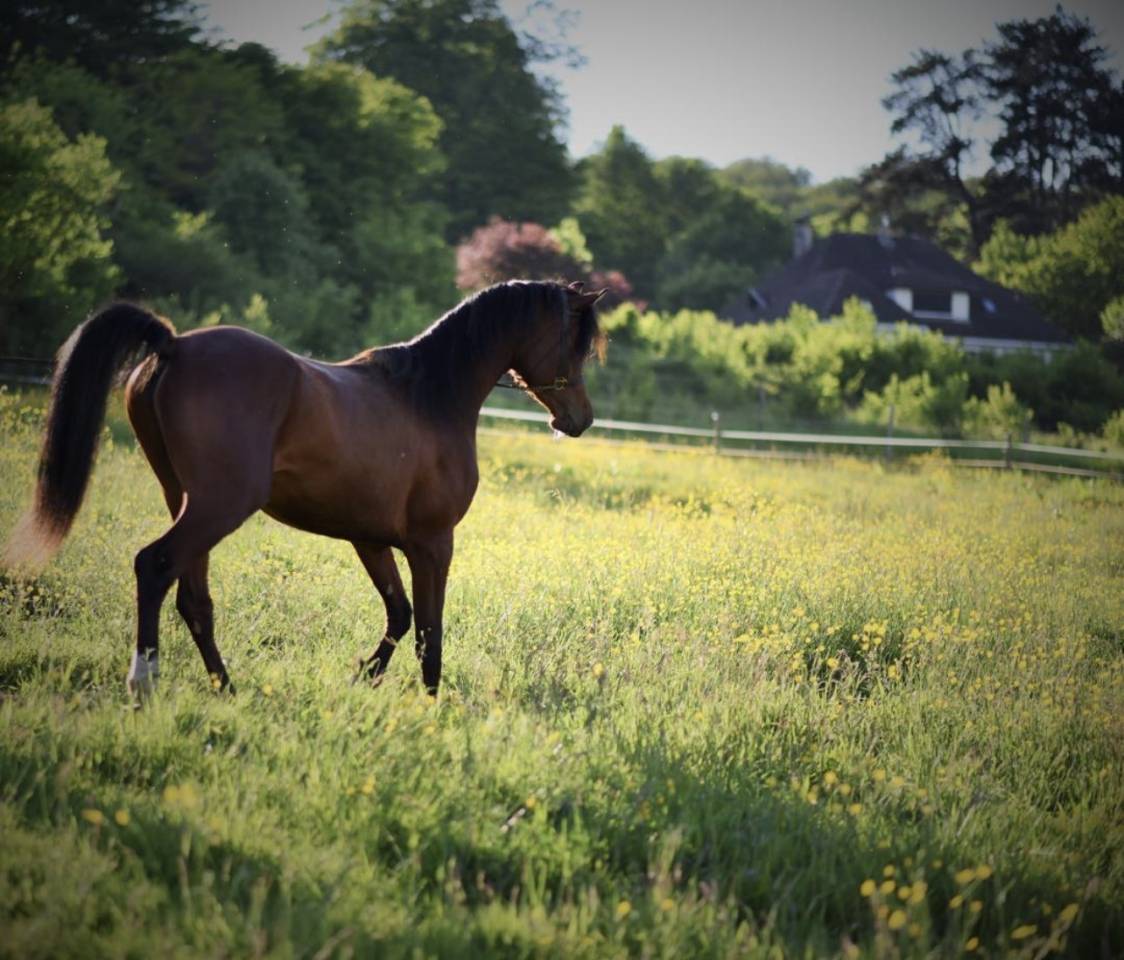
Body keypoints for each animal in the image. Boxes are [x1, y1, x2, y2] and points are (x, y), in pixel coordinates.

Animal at [3, 280, 606, 697]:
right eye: (574, 345)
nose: (580, 419)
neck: (429, 394)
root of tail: (174, 346)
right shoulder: (433, 543)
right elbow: (428, 633)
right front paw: (430, 704)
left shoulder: (371, 540)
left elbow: (399, 616)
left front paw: (363, 677)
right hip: (219, 506)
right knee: (155, 567)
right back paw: (144, 681)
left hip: (187, 501)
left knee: (193, 598)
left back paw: (227, 689)